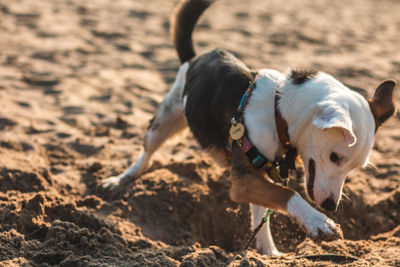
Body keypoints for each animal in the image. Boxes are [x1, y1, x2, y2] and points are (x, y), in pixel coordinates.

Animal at [101, 0, 396, 256]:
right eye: (335, 157)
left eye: (354, 168)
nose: (330, 206)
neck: (279, 110)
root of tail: (195, 58)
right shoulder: (243, 180)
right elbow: (288, 193)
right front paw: (318, 222)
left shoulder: (259, 172)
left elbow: (263, 212)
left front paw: (268, 250)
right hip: (165, 119)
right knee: (146, 153)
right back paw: (121, 180)